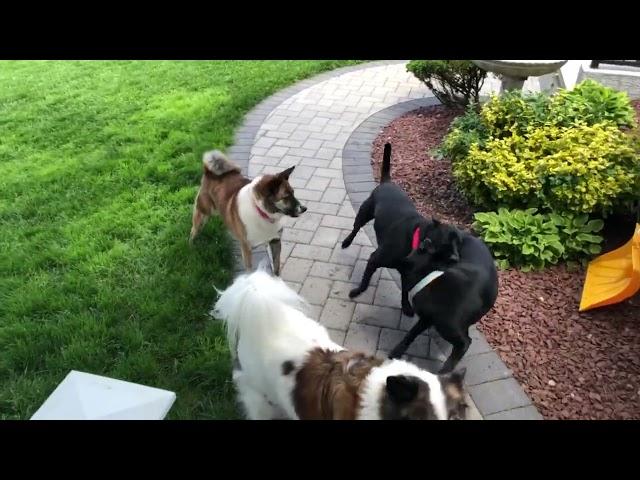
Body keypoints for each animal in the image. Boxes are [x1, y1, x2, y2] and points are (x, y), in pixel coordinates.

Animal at [342, 142, 462, 316]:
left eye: (459, 244)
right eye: (445, 243)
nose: (456, 258)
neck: (415, 238)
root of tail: (387, 182)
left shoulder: (407, 273)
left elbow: (405, 291)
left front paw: (406, 306)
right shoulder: (374, 259)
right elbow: (366, 281)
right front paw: (357, 291)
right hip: (364, 213)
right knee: (355, 229)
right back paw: (346, 242)